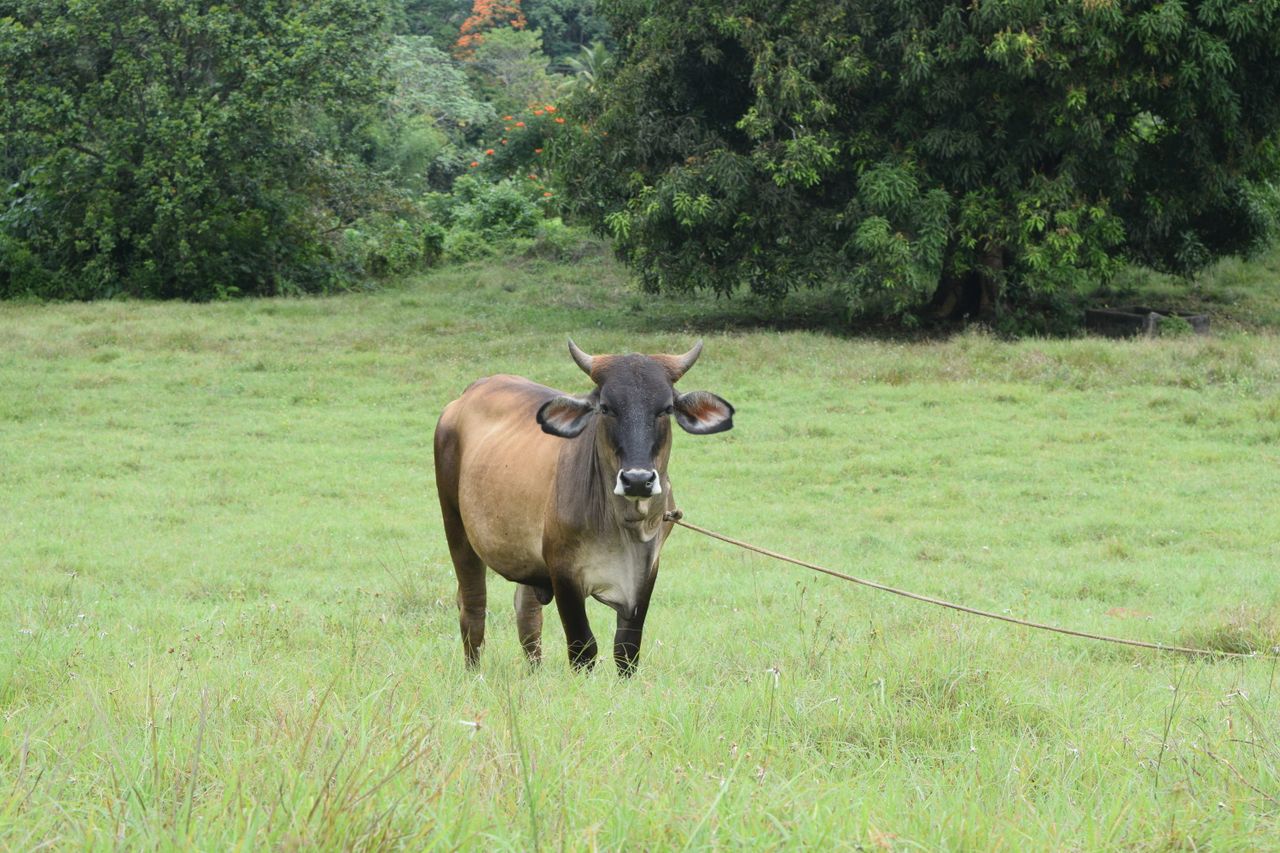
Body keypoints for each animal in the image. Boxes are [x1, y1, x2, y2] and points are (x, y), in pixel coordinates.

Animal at [433, 339, 734, 674]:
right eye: (606, 408)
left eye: (666, 408)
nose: (637, 480)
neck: (625, 526)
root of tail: (467, 394)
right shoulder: (563, 572)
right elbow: (583, 647)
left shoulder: (647, 571)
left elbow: (627, 649)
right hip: (456, 528)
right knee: (473, 605)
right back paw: (475, 673)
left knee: (527, 613)